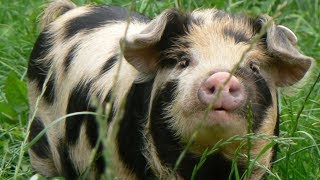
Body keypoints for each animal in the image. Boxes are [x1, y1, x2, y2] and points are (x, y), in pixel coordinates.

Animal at [26, 0, 312, 179]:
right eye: (183, 61)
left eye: (254, 66)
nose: (222, 77)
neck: (211, 162)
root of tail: (69, 13)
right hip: (39, 130)